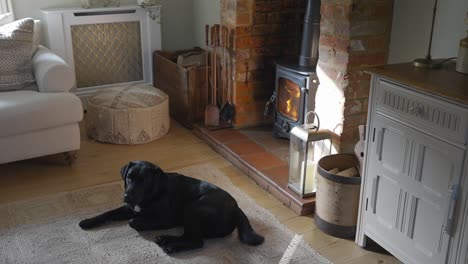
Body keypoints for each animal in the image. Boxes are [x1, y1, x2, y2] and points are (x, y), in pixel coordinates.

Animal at [78, 160, 266, 253]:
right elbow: (107, 213)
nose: (127, 196)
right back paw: (165, 239)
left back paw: (171, 246)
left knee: (197, 241)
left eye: (143, 181)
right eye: (129, 177)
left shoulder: (166, 218)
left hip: (193, 208)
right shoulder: (128, 208)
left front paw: (139, 222)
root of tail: (237, 208)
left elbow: (133, 222)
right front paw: (88, 221)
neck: (153, 192)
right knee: (189, 236)